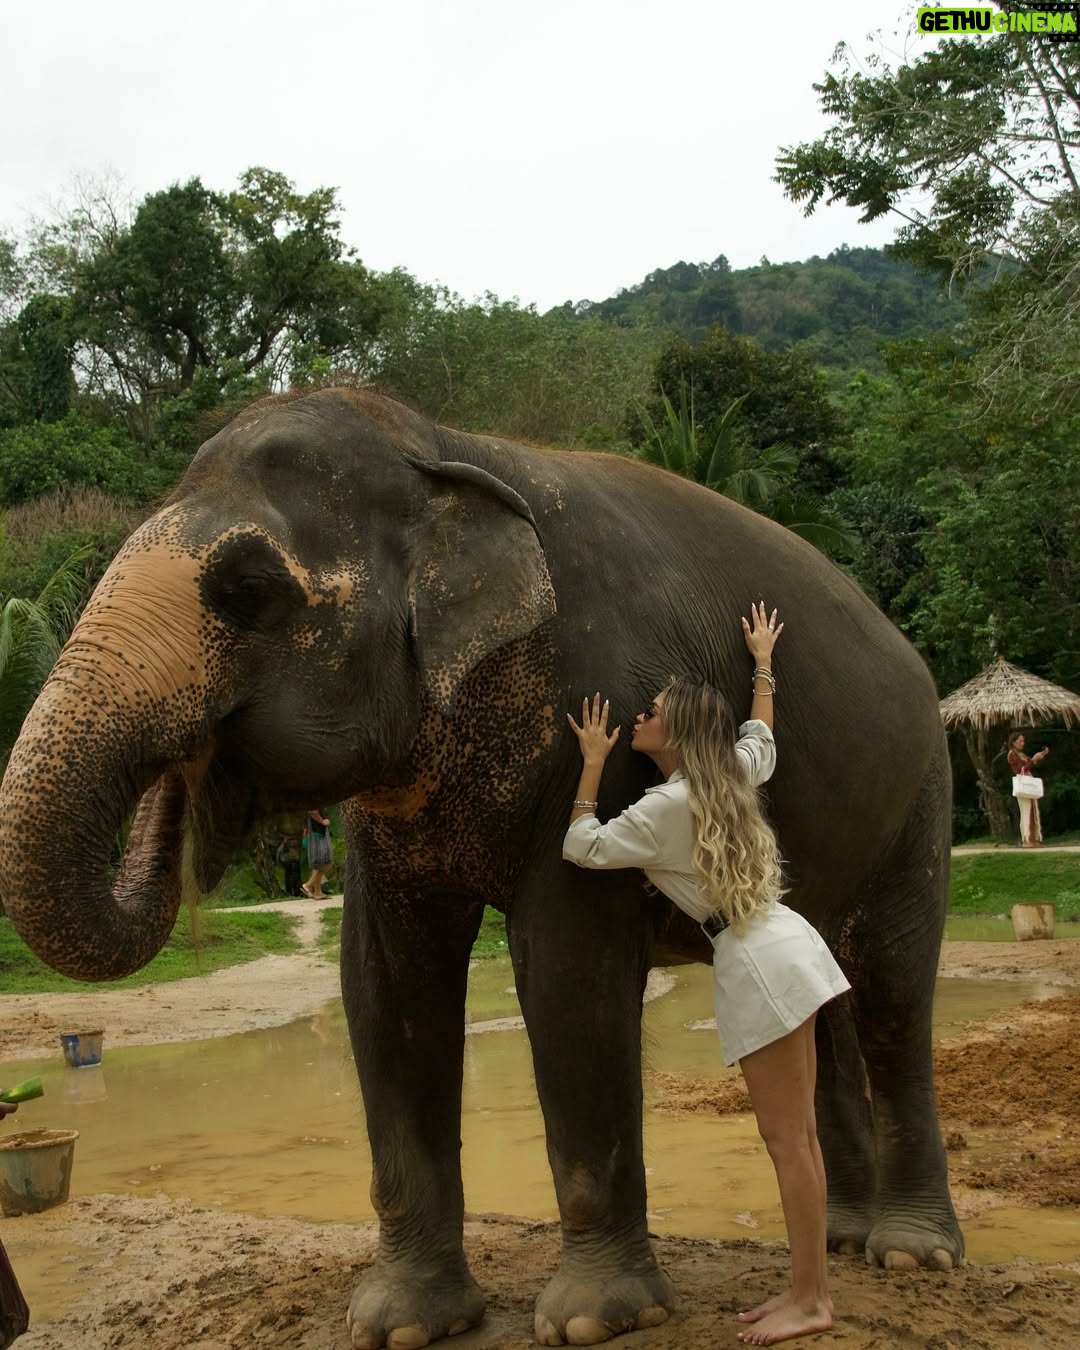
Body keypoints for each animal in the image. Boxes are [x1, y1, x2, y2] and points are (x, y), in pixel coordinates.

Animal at [0, 388, 963, 1347]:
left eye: (247, 593)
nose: (188, 771)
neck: (439, 448)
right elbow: (384, 987)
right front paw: (401, 1325)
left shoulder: (608, 715)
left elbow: (570, 977)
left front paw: (593, 1321)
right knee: (828, 1016)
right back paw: (841, 1240)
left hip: (925, 788)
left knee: (891, 988)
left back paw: (911, 1254)